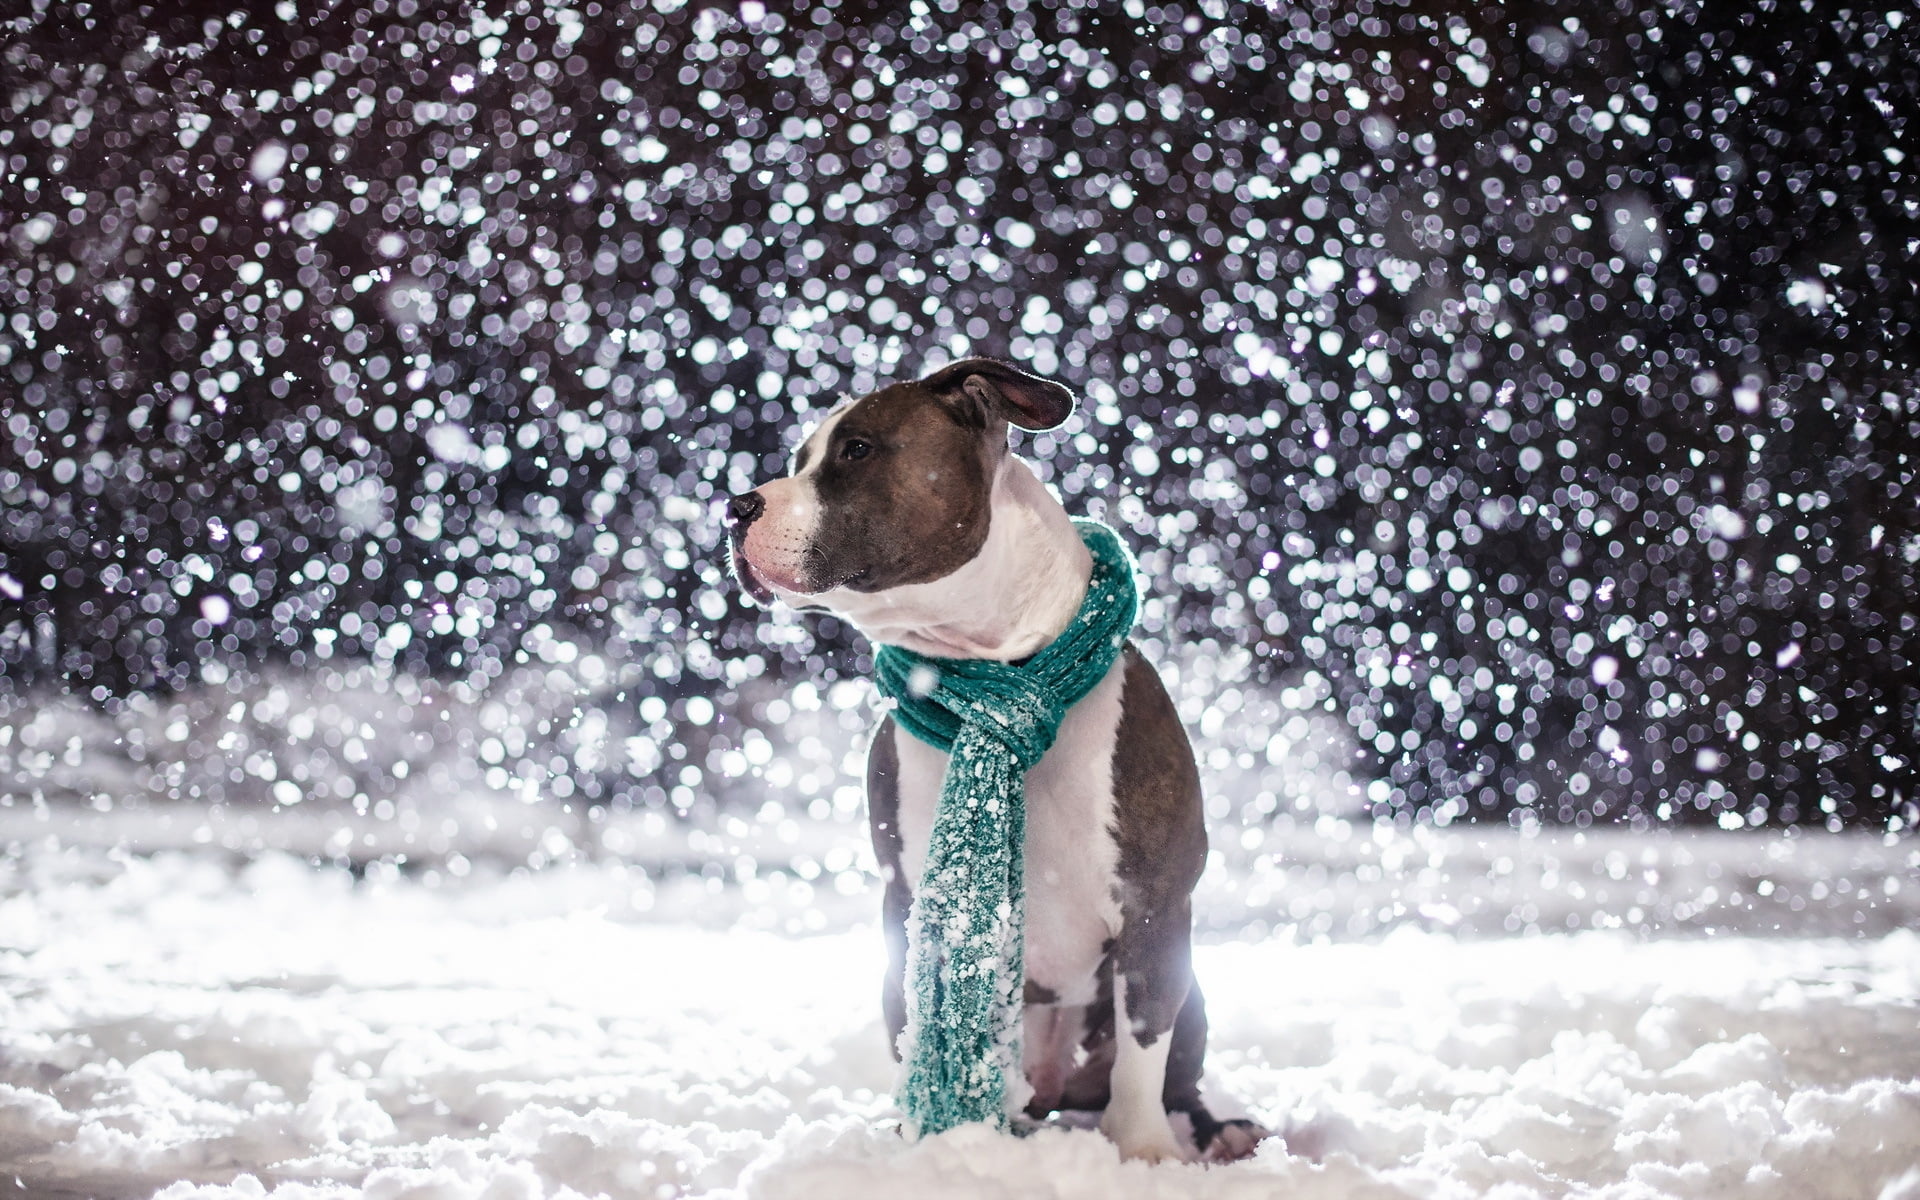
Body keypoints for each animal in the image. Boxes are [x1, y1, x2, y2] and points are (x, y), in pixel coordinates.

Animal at [725, 355, 1267, 1159]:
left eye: (856, 450)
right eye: (798, 461)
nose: (735, 508)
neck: (995, 667)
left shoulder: (1156, 908)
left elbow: (1143, 1048)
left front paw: (1144, 1153)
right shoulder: (906, 902)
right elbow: (918, 1022)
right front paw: (928, 1139)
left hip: (1188, 994)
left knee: (1177, 1074)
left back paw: (1217, 1131)